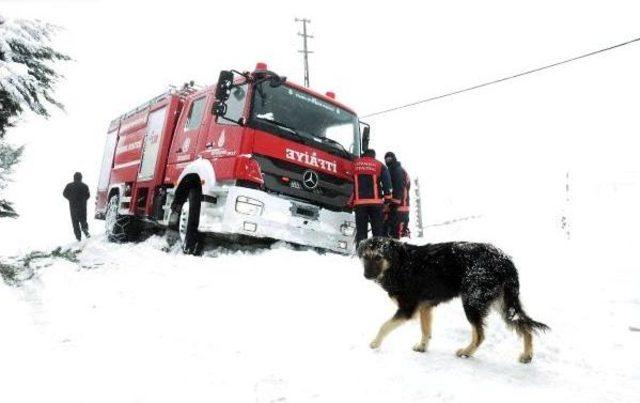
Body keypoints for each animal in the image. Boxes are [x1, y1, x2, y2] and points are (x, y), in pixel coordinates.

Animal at [358, 237, 548, 362]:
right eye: (365, 257)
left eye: (378, 257)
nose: (366, 275)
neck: (399, 264)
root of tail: (505, 261)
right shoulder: (425, 307)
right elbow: (426, 330)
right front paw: (422, 347)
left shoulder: (407, 309)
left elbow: (384, 326)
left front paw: (375, 343)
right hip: (504, 304)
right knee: (524, 326)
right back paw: (527, 355)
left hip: (471, 302)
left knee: (480, 335)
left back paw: (467, 352)